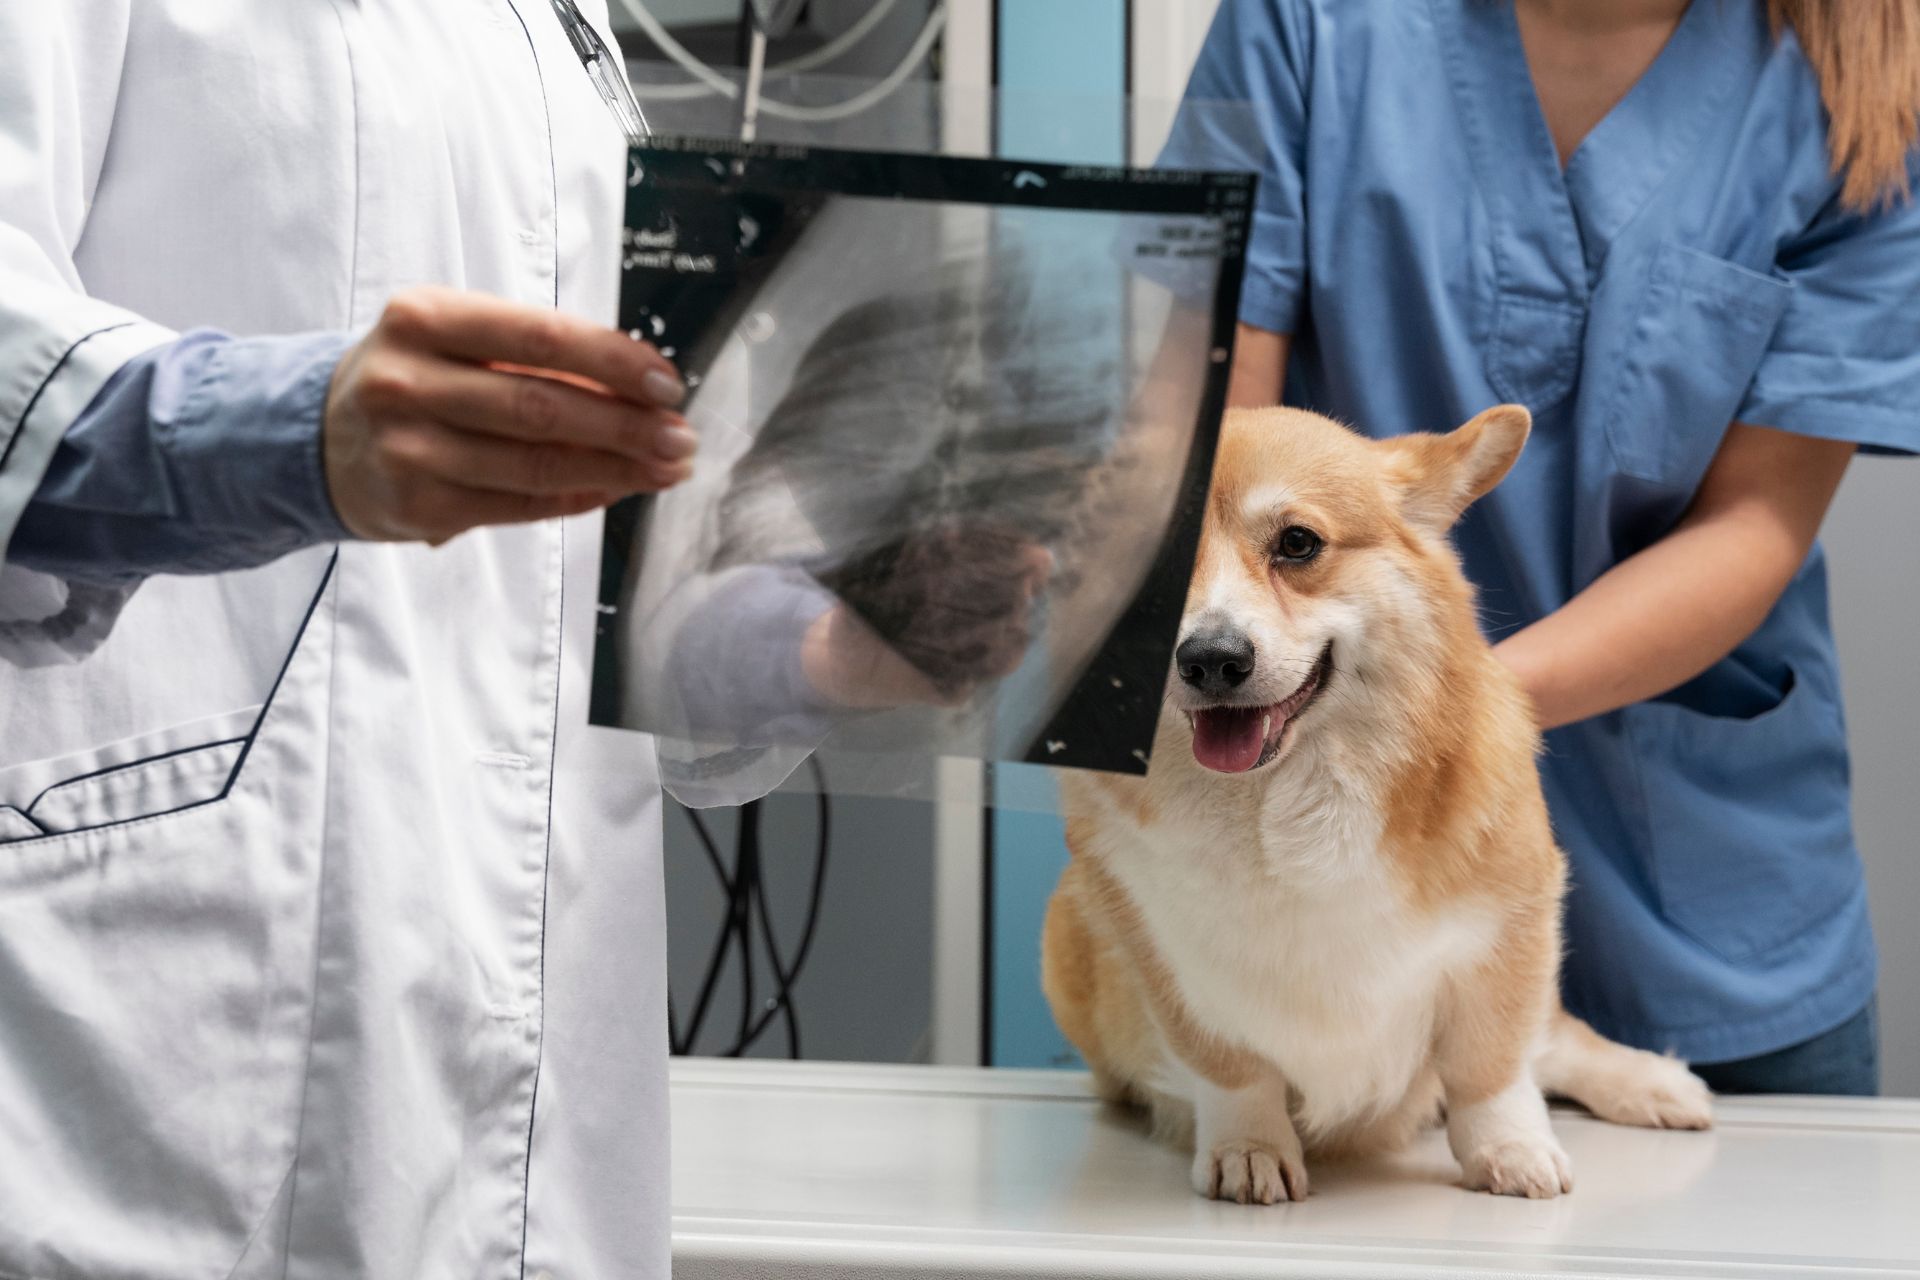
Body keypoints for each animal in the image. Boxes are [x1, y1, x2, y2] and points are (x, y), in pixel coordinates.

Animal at [1044, 408, 1720, 1205]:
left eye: (1298, 543)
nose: (1209, 660)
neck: (1284, 801)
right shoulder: (1165, 958)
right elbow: (1233, 1071)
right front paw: (1250, 1149)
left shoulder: (1510, 924)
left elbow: (1493, 1065)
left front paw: (1511, 1150)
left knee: (1552, 1038)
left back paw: (1654, 1085)